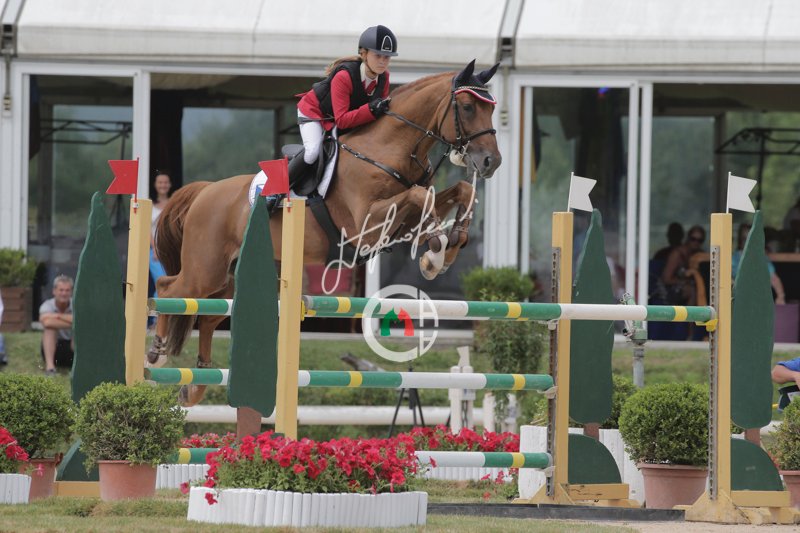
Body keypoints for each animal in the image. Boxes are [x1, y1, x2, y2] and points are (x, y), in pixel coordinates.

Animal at [148, 60, 502, 406]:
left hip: (230, 277)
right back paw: (157, 352)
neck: (390, 148)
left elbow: (458, 191)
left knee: (207, 317)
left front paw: (447, 248)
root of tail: (205, 191)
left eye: (492, 108)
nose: (491, 162)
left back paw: (195, 386)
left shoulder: (400, 223)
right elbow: (420, 196)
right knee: (168, 289)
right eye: (468, 107)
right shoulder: (365, 227)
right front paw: (436, 253)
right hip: (204, 270)